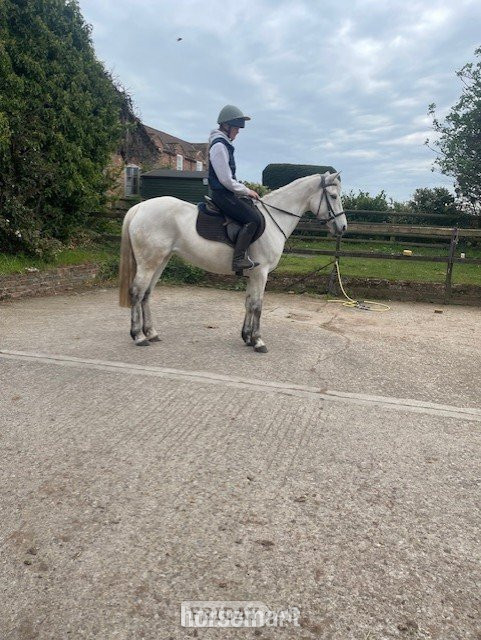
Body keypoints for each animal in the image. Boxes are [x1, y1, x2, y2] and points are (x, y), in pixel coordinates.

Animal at [119, 171, 347, 353]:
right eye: (333, 196)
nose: (343, 227)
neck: (274, 218)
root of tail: (139, 208)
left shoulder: (253, 275)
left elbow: (248, 303)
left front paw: (247, 337)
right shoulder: (261, 273)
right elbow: (257, 305)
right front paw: (258, 341)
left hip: (161, 261)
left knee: (147, 294)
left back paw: (151, 333)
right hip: (149, 262)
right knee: (137, 293)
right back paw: (138, 336)